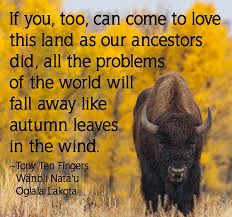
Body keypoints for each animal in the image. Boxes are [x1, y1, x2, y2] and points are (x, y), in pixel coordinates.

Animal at [132, 72, 212, 214]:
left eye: (192, 144)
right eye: (161, 143)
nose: (177, 172)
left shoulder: (193, 170)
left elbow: (188, 196)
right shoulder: (149, 169)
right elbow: (154, 194)